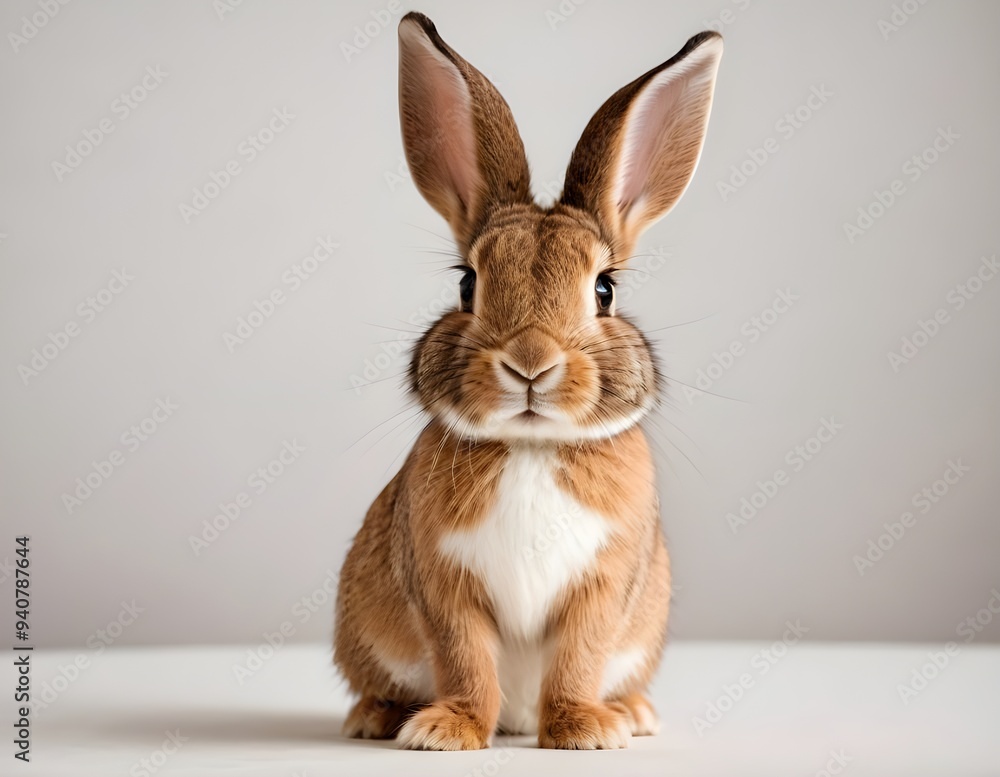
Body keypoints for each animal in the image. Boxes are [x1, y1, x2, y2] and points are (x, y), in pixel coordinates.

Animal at [334, 11, 723, 751]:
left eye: (604, 289)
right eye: (467, 284)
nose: (531, 362)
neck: (532, 446)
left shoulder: (601, 586)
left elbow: (578, 659)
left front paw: (584, 732)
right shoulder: (445, 585)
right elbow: (464, 659)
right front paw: (447, 732)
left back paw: (632, 713)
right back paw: (377, 717)